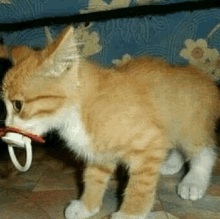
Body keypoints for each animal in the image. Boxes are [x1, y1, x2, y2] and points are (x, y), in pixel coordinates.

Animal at [2, 26, 220, 218]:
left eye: (17, 105)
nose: (5, 128)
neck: (79, 110)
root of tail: (205, 79)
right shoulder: (98, 152)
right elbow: (93, 178)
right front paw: (86, 206)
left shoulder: (149, 142)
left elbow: (139, 187)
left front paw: (130, 214)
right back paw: (171, 164)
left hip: (189, 124)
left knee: (204, 151)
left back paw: (194, 182)